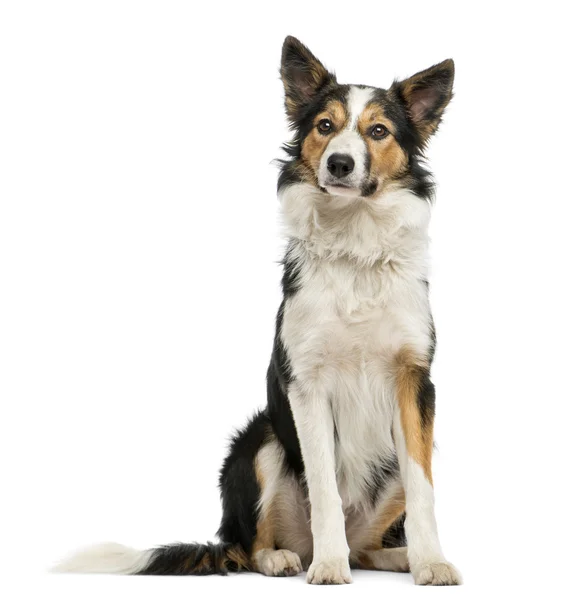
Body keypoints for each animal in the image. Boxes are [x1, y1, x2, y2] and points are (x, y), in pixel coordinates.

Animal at [53, 36, 460, 584]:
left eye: (379, 131)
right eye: (324, 126)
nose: (339, 164)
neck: (354, 245)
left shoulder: (415, 382)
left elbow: (424, 492)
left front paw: (430, 562)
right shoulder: (306, 384)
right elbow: (325, 491)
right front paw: (328, 568)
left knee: (367, 546)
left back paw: (393, 556)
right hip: (258, 441)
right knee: (253, 544)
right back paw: (289, 557)